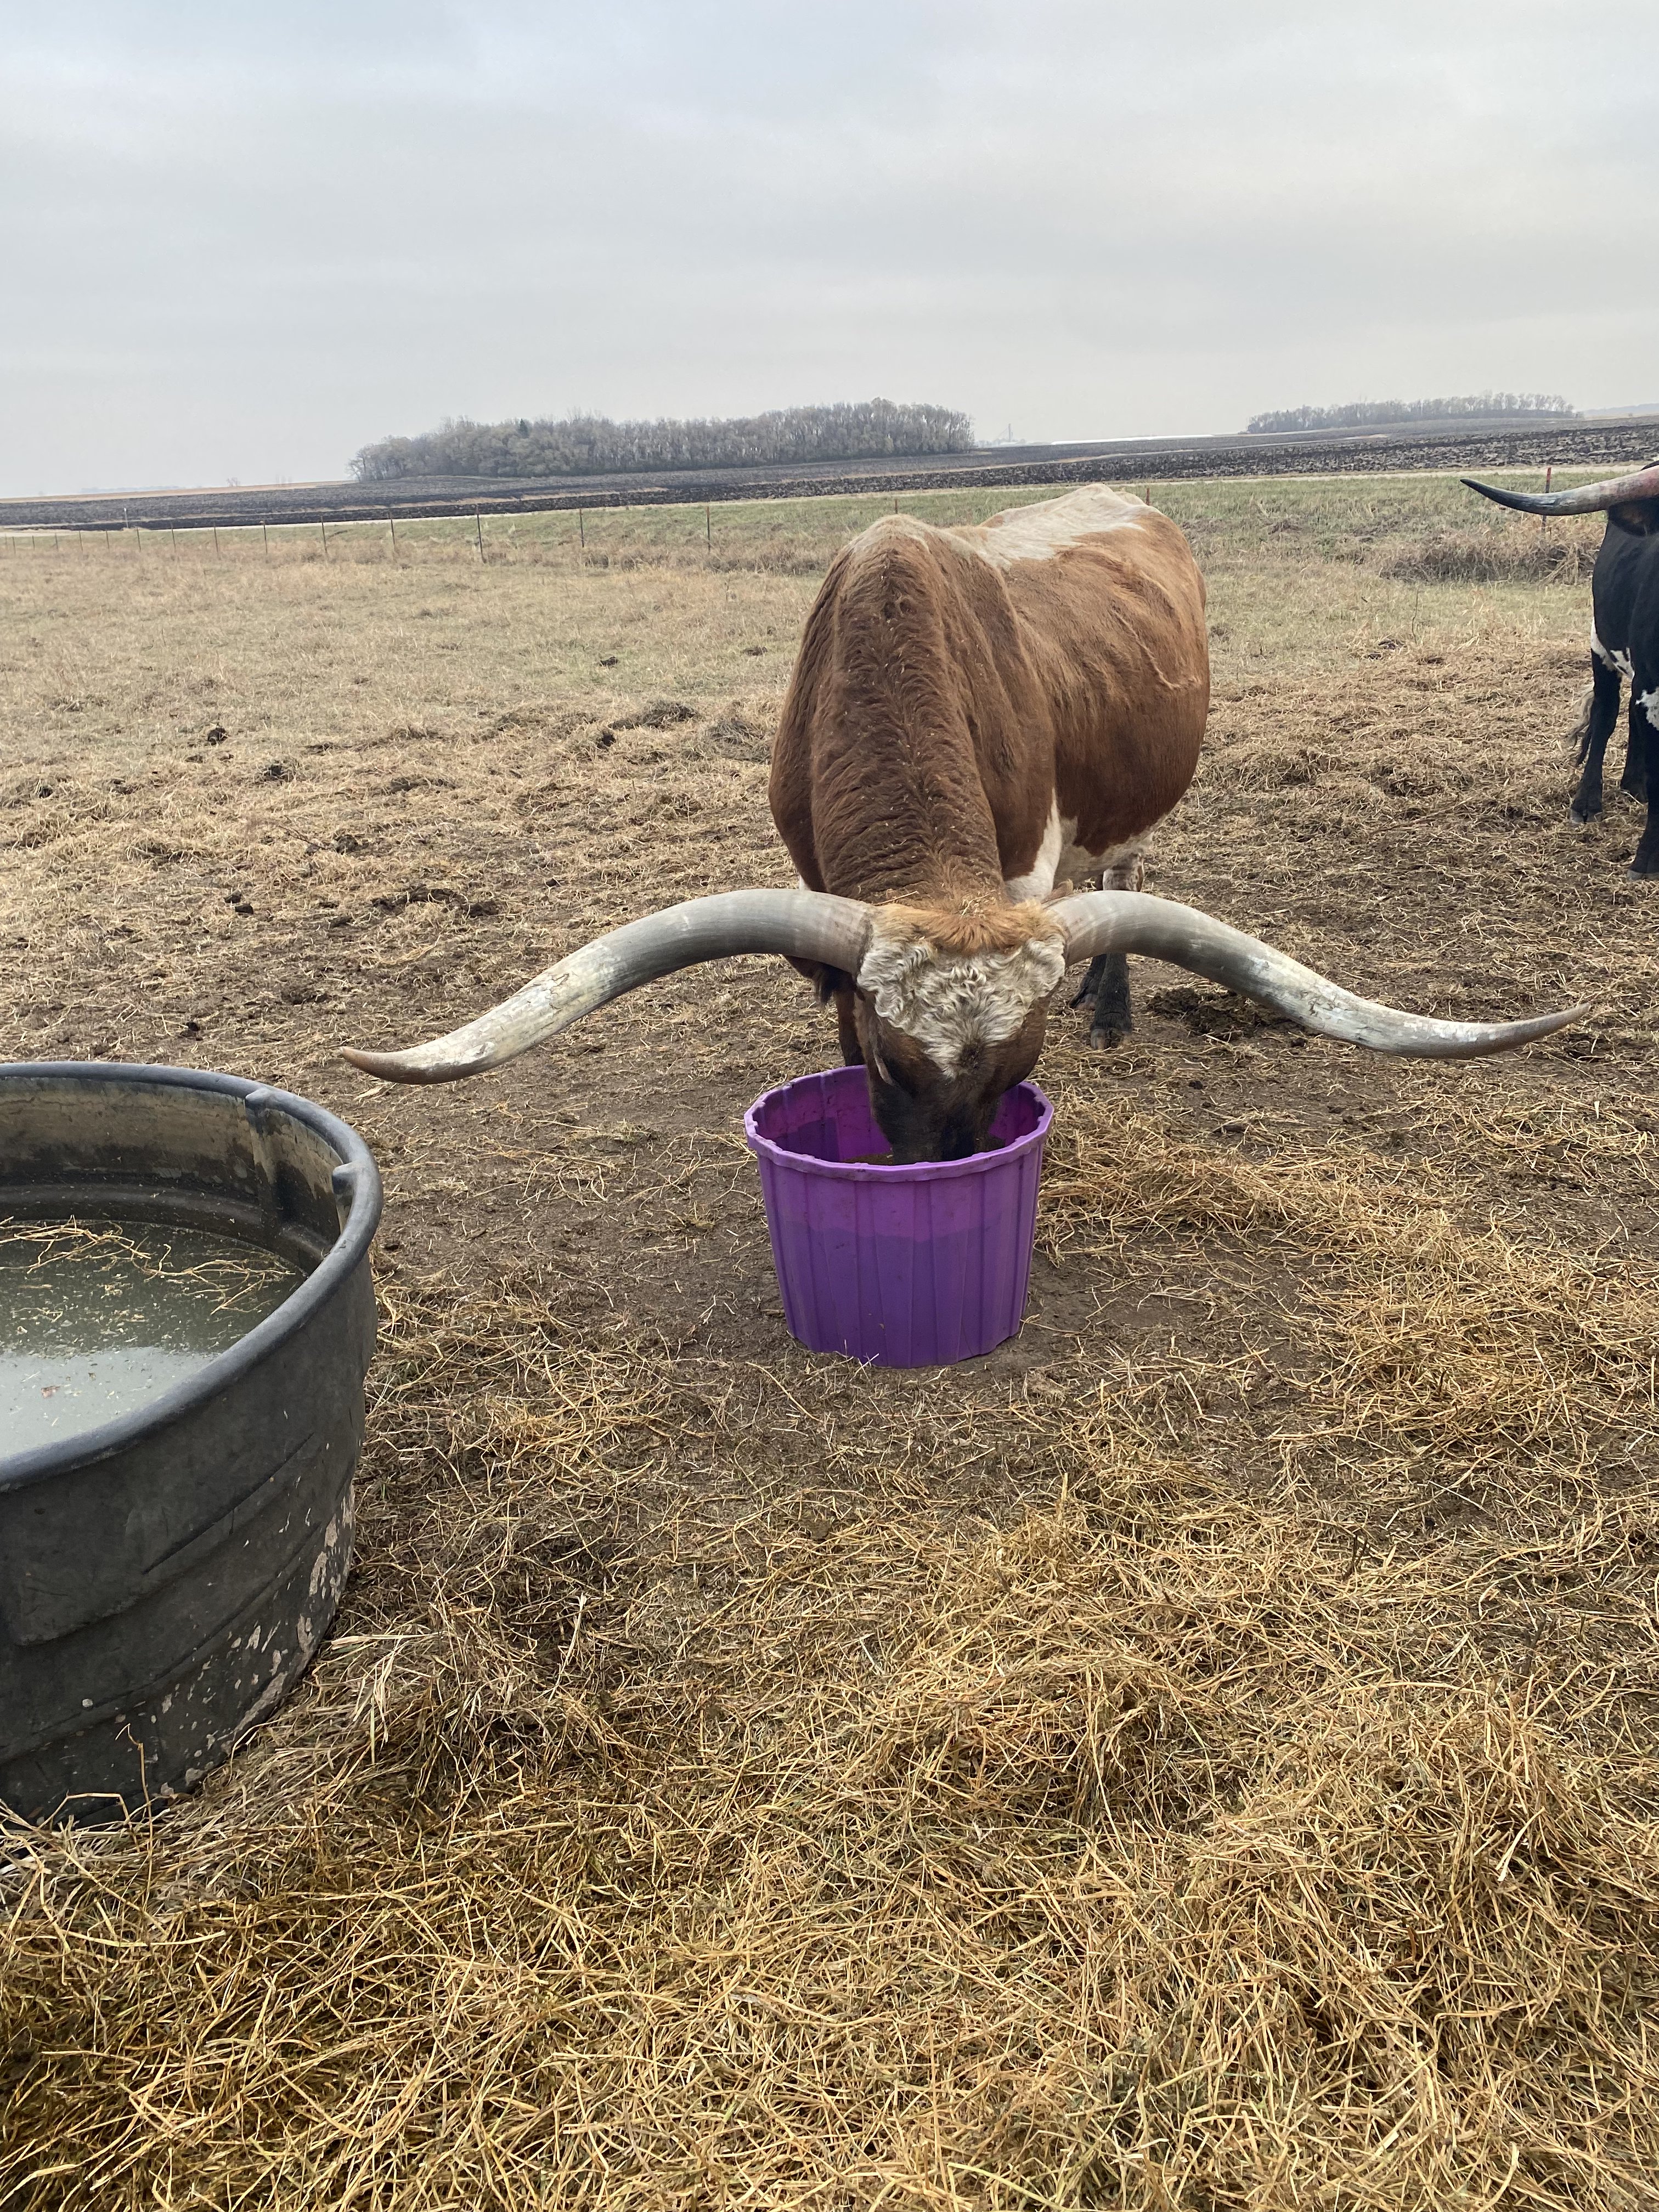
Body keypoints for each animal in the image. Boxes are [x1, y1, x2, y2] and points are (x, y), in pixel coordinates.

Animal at [344, 485, 1581, 1158]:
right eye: (886, 1063)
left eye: (1013, 1073)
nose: (933, 1166)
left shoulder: (1021, 873)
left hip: (1136, 804)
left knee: (1120, 874)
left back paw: (1110, 1004)